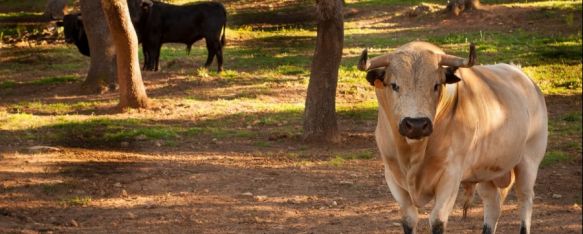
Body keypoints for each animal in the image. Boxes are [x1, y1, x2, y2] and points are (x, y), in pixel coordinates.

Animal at [358, 41, 548, 233]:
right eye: (394, 85)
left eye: (436, 85)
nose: (417, 124)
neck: (413, 154)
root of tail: (524, 77)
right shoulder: (392, 176)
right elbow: (409, 219)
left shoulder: (450, 176)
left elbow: (437, 220)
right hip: (486, 172)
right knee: (492, 204)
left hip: (528, 162)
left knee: (525, 199)